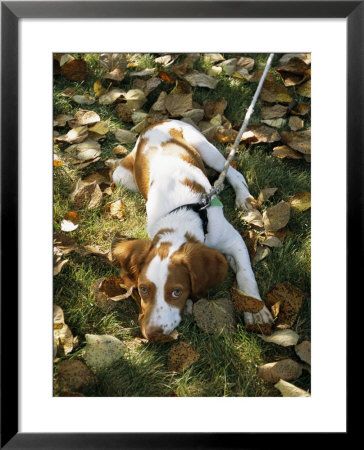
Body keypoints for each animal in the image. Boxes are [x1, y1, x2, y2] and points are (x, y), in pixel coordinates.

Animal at [111, 119, 272, 342]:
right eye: (143, 289)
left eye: (176, 292)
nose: (151, 335)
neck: (182, 217)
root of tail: (157, 121)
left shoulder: (234, 239)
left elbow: (245, 273)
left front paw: (255, 310)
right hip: (122, 176)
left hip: (205, 147)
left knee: (233, 172)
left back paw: (243, 198)